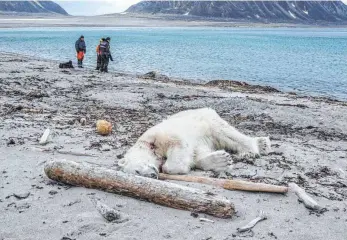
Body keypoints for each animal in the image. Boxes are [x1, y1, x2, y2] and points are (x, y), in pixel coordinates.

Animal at [119, 108, 272, 177]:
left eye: (137, 170)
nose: (152, 175)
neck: (148, 145)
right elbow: (197, 155)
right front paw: (221, 160)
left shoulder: (161, 136)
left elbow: (178, 146)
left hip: (207, 121)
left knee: (227, 133)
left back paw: (252, 150)